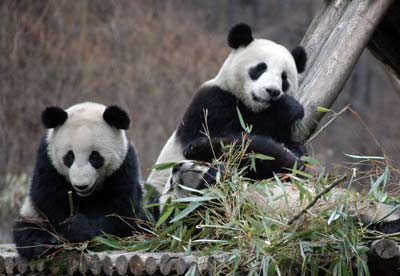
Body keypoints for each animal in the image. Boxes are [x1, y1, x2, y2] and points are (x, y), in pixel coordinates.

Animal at [14, 102, 149, 260]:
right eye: (69, 156)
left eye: (94, 157)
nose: (81, 185)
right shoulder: (47, 161)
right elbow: (48, 199)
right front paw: (60, 236)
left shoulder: (123, 167)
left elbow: (119, 211)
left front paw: (78, 228)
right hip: (31, 214)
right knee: (25, 230)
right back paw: (43, 244)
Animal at [148, 23, 308, 203]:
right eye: (260, 68)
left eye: (284, 77)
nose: (272, 91)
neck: (251, 105)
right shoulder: (211, 105)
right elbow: (234, 136)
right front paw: (288, 108)